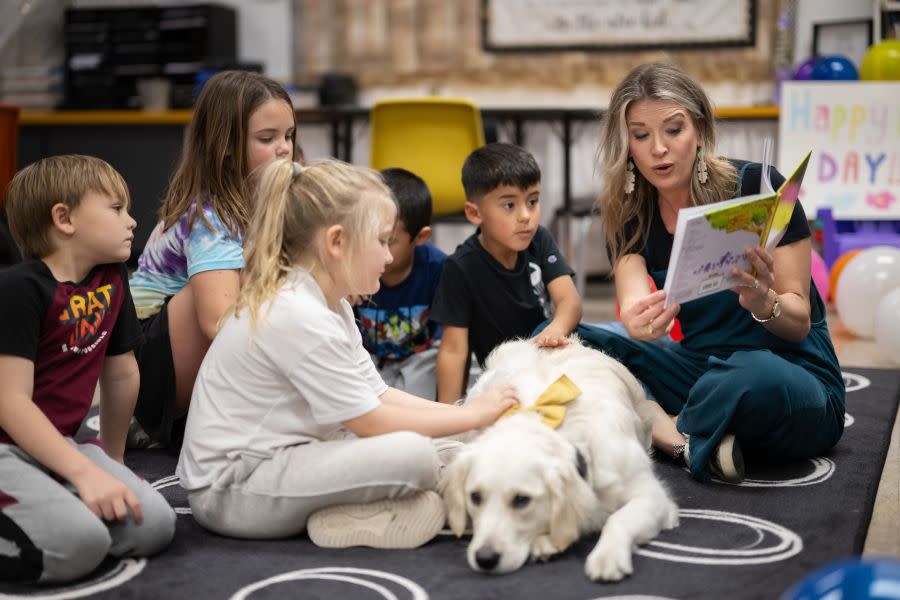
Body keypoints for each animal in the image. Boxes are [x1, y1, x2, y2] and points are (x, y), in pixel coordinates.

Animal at [440, 336, 680, 580]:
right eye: (475, 497)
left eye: (522, 500)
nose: (485, 558)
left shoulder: (652, 496)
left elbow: (619, 519)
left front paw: (608, 556)